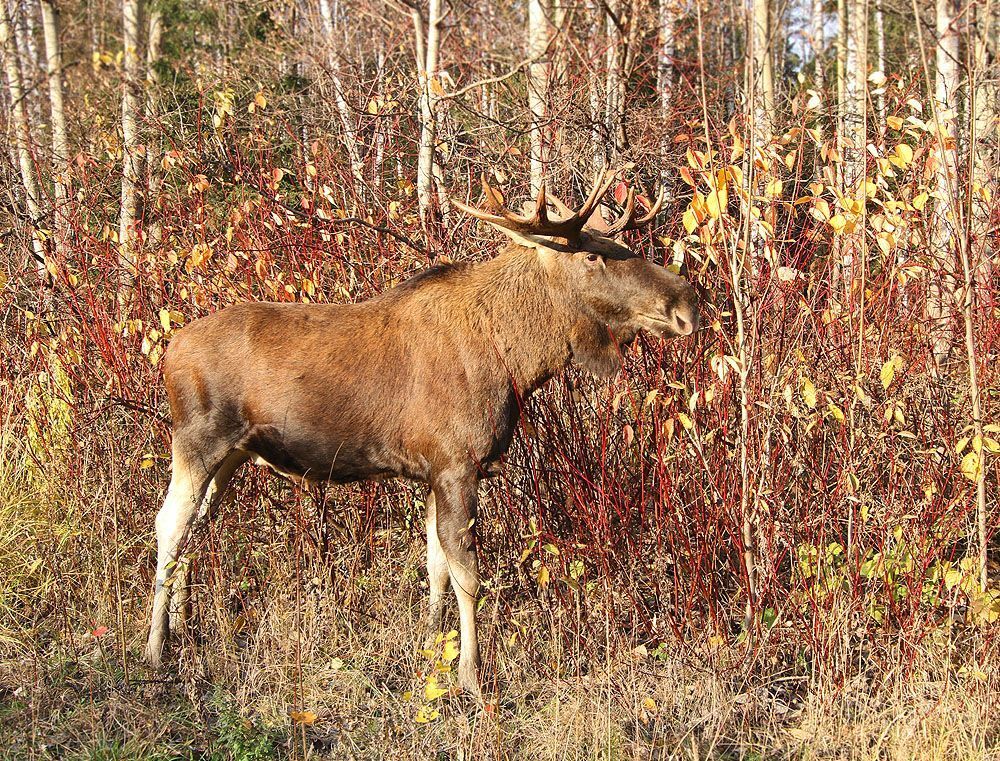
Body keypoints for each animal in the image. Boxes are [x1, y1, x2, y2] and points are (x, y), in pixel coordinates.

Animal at [143, 168, 699, 700]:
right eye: (591, 257)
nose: (685, 305)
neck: (516, 360)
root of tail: (168, 351)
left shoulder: (435, 472)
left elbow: (436, 568)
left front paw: (432, 649)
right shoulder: (457, 464)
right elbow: (468, 574)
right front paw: (471, 676)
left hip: (234, 455)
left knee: (195, 529)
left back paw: (185, 628)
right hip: (198, 440)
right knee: (168, 525)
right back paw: (155, 647)